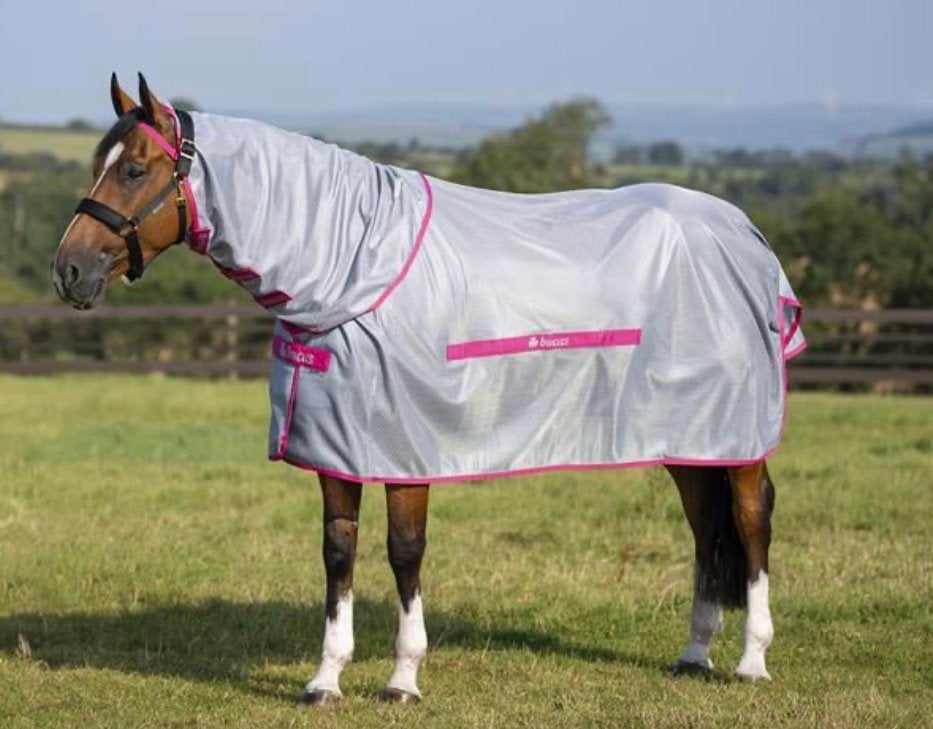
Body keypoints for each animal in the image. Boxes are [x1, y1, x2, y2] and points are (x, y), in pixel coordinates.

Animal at [52, 74, 806, 705]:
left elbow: (403, 552)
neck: (347, 264)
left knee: (750, 519)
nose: (69, 270)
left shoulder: (405, 449)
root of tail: (744, 232)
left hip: (737, 436)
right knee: (705, 528)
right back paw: (693, 655)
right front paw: (325, 680)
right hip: (689, 434)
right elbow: (338, 554)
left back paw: (751, 661)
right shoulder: (335, 451)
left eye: (133, 169)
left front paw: (402, 680)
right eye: (97, 166)